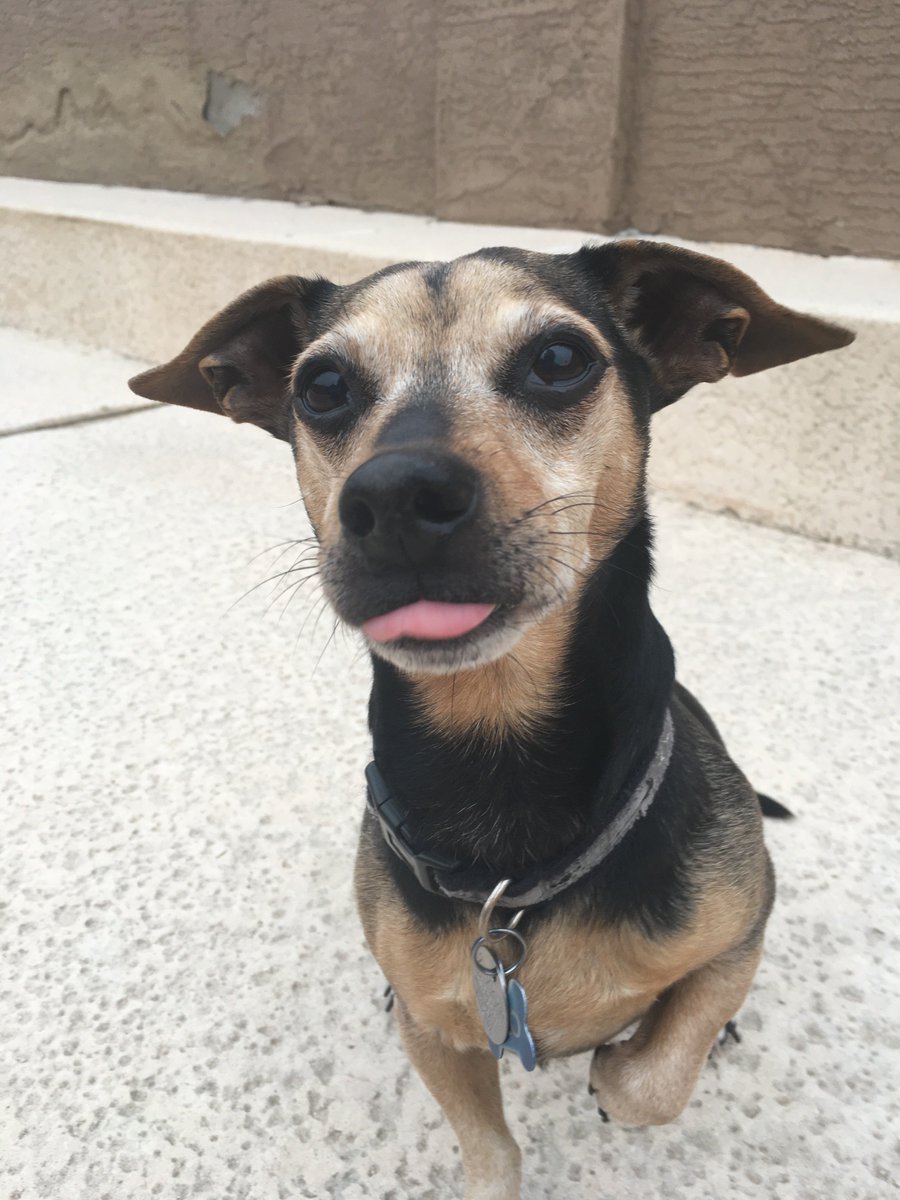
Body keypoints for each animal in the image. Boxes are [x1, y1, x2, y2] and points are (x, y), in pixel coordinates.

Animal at [128, 238, 854, 1195]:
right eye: (321, 386)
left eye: (560, 359)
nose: (396, 494)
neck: (497, 757)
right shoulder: (437, 1032)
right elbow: (490, 1146)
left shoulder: (744, 926)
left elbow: (654, 1076)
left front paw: (621, 1069)